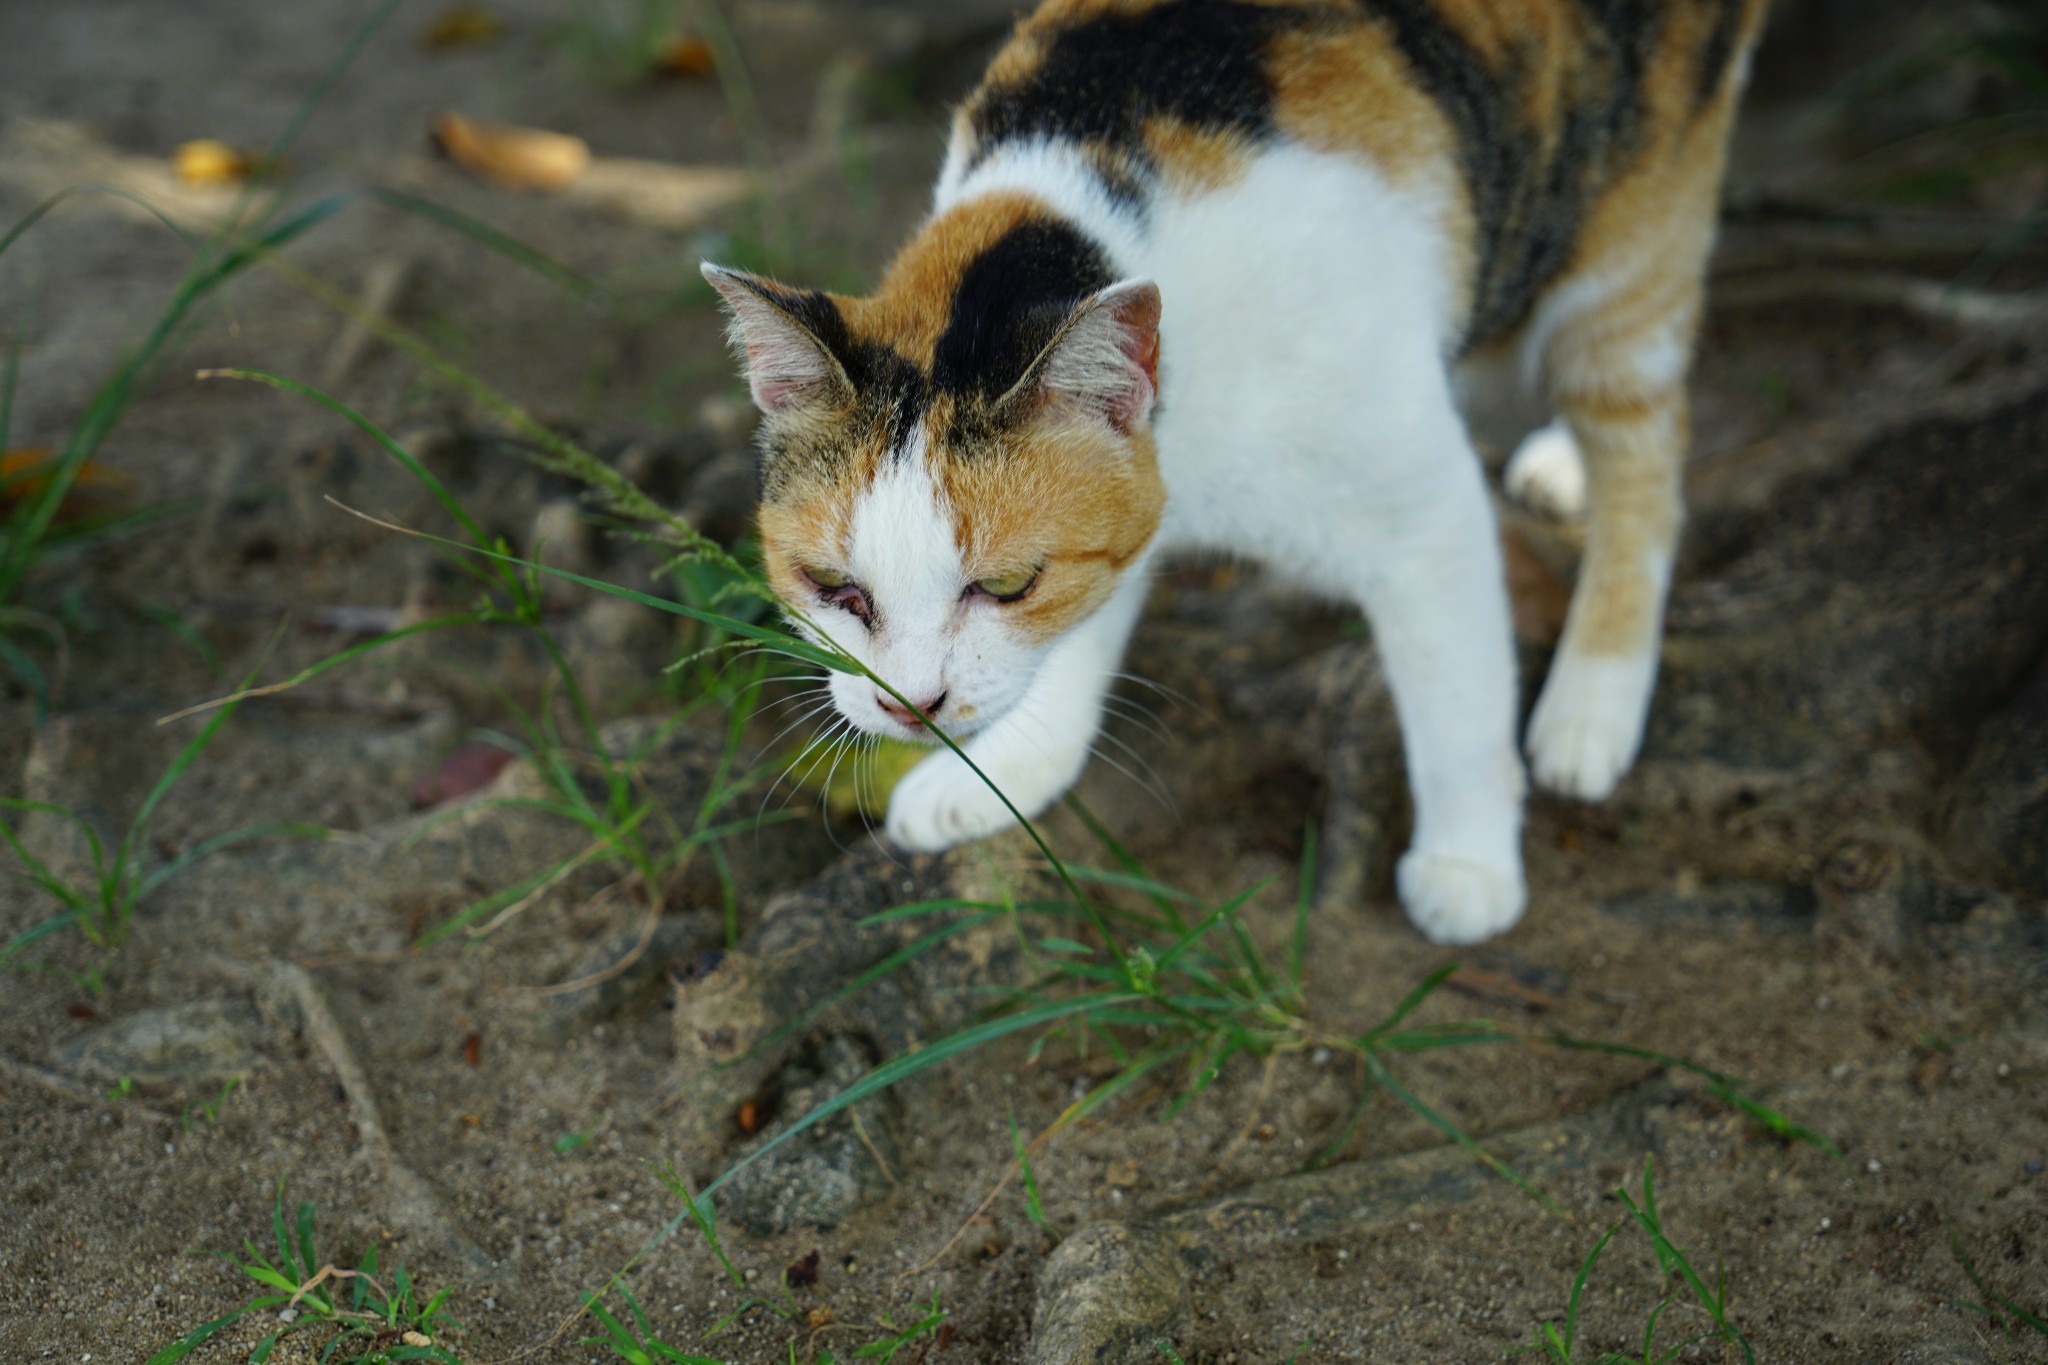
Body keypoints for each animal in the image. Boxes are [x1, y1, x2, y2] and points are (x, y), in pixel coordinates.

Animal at [700, 0, 1761, 941]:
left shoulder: (1422, 503)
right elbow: (1088, 623)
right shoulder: (1133, 505)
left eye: (1008, 583)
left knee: (1647, 453)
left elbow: (1456, 694)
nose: (909, 706)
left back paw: (1592, 699)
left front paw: (1467, 863)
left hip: (1629, 251)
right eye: (832, 586)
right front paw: (1005, 772)